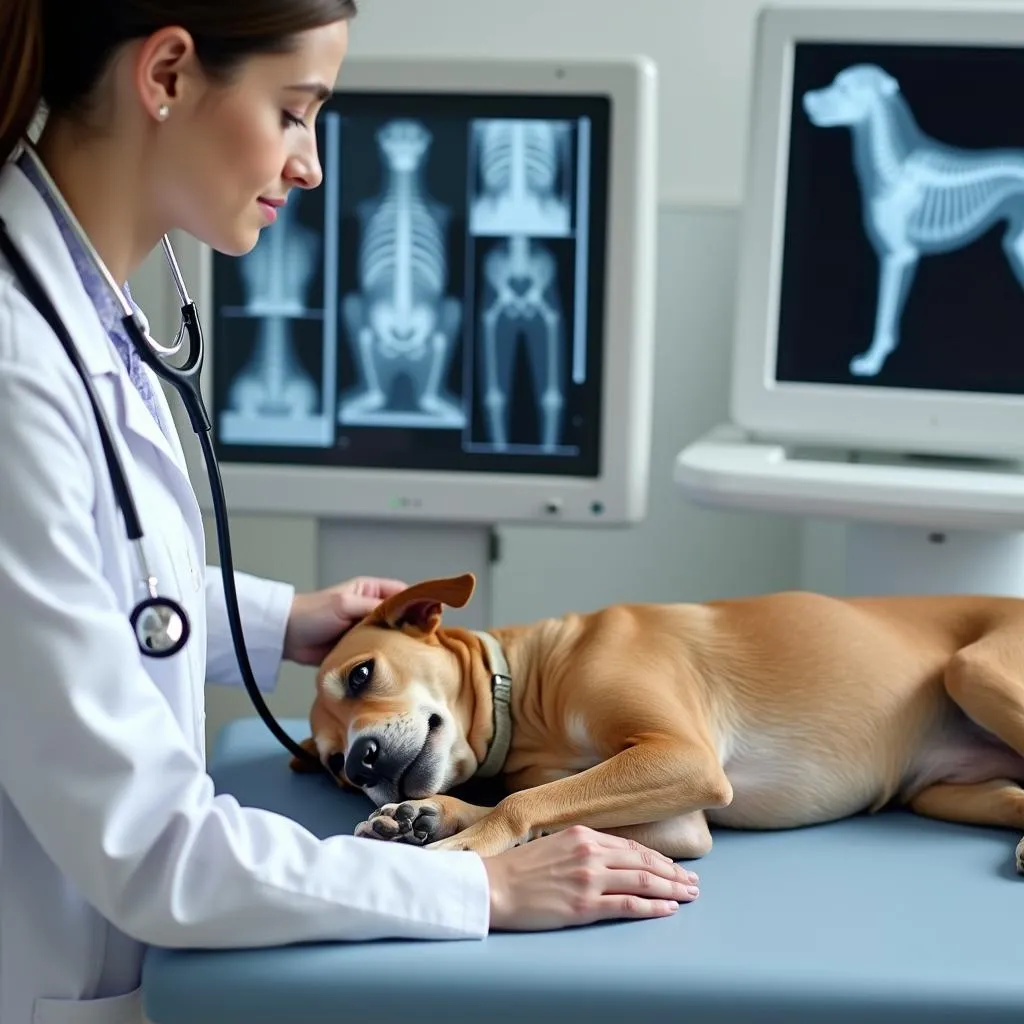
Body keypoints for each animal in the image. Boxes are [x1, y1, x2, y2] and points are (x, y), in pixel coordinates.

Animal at [288, 573, 1024, 868]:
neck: (530, 690)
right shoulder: (682, 822)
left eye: (360, 675)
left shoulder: (683, 757)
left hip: (973, 671)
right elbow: (546, 800)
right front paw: (428, 816)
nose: (360, 762)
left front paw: (463, 842)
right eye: (333, 767)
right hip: (947, 793)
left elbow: (524, 801)